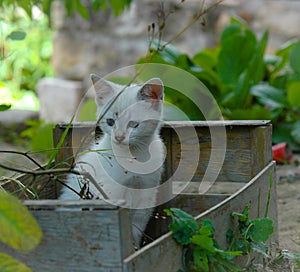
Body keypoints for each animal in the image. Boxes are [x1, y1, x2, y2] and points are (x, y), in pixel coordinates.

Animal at [59, 74, 165, 246]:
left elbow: (136, 228)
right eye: (110, 122)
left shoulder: (147, 194)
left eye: (133, 124)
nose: (119, 137)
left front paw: (136, 248)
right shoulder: (111, 192)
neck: (133, 156)